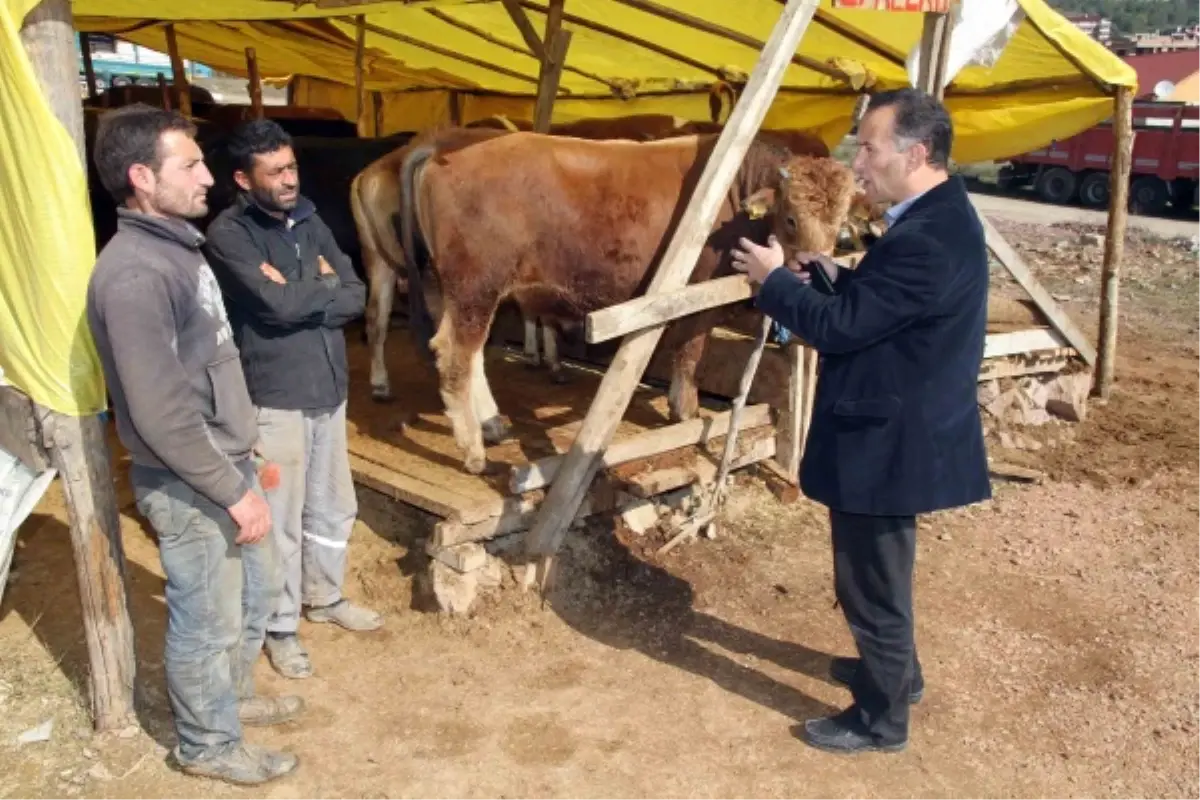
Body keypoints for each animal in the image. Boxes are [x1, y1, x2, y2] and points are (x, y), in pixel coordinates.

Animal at [403, 133, 864, 474]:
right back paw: (473, 453)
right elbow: (690, 352)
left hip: (457, 290)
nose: (814, 272)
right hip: (475, 286)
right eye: (791, 218)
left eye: (840, 223)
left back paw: (491, 424)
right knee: (455, 356)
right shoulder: (699, 296)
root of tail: (444, 150)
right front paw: (685, 409)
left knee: (471, 355)